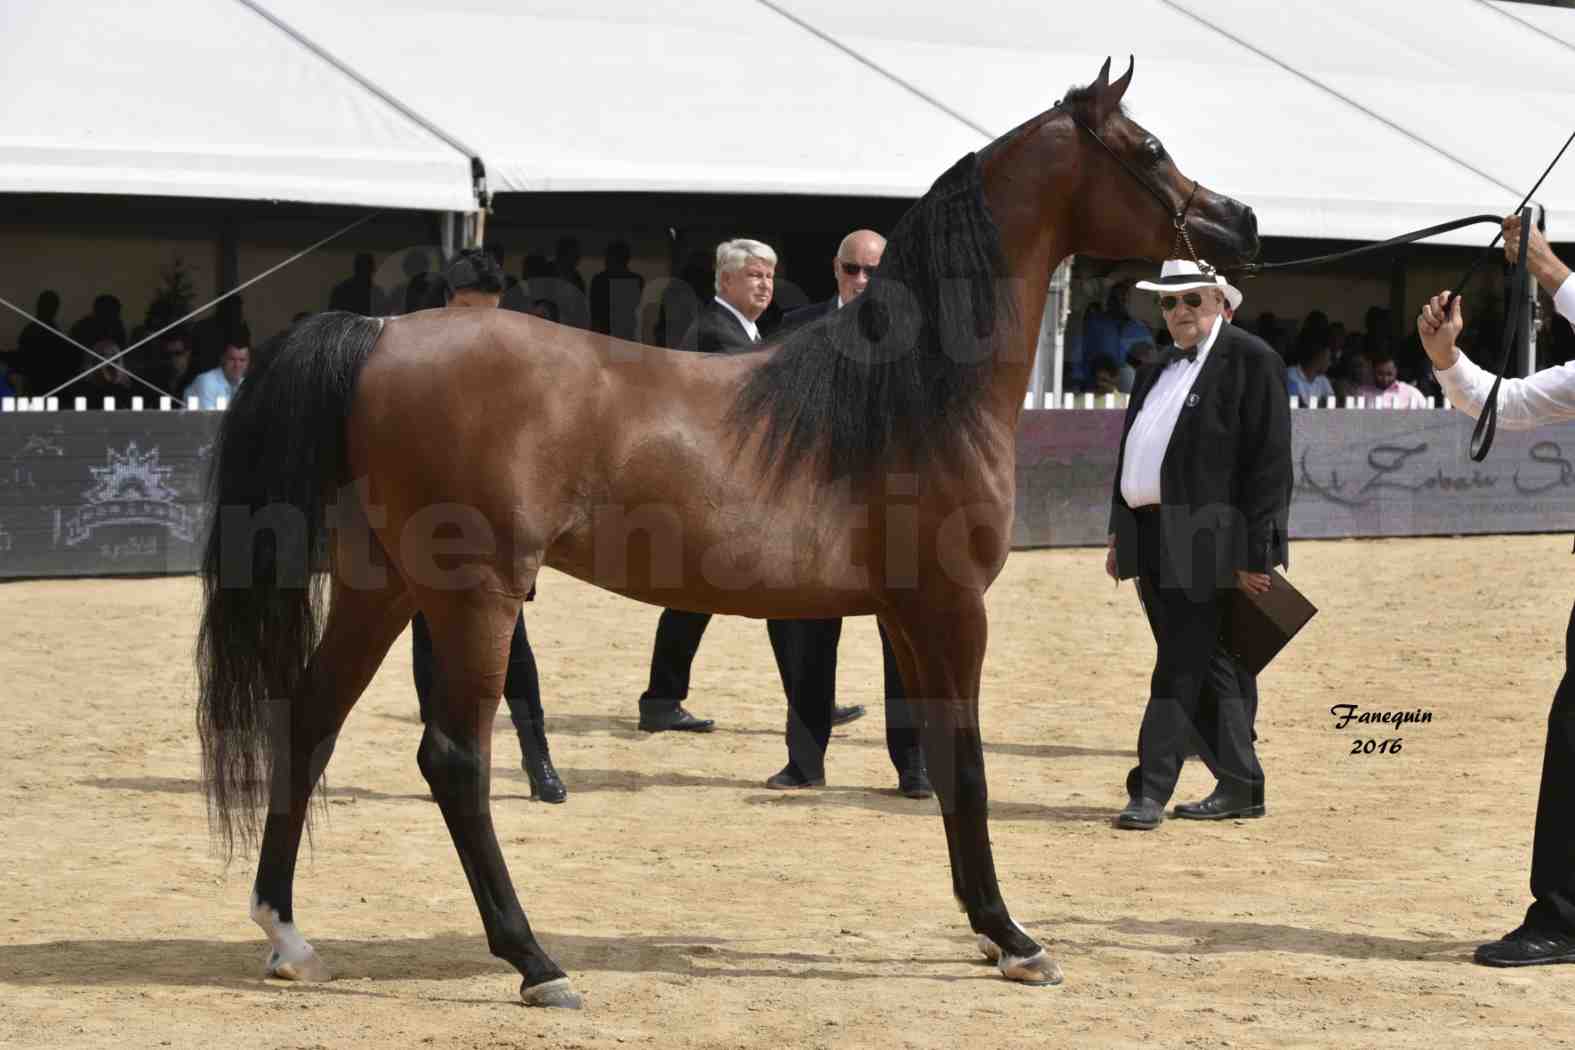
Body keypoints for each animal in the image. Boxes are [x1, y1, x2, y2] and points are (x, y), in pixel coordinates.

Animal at [193, 59, 1253, 1007]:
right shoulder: (954, 608)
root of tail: (378, 332)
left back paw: (288, 936)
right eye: (1147, 149)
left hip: (382, 587)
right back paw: (534, 962)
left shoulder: (905, 614)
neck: (907, 396)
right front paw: (1015, 939)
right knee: (453, 759)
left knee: (308, 719)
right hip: (473, 596)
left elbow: (943, 760)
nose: (1237, 221)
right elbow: (970, 764)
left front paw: (987, 930)